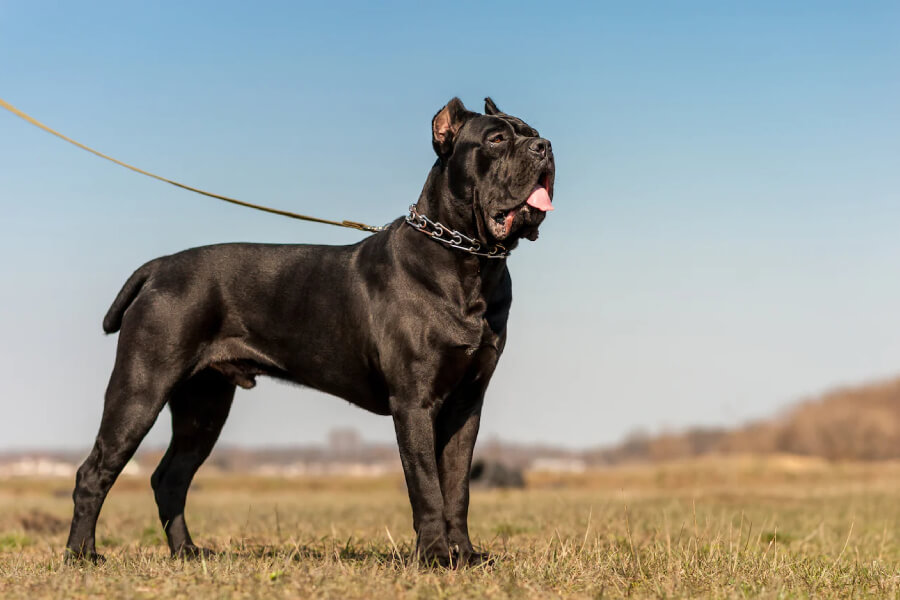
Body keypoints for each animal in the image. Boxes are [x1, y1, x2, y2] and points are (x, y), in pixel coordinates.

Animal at [63, 96, 552, 564]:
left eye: (532, 131)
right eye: (496, 140)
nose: (544, 147)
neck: (468, 261)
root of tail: (161, 266)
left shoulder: (466, 405)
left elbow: (457, 487)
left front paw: (465, 555)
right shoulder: (414, 402)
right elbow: (427, 486)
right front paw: (434, 556)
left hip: (203, 405)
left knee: (171, 477)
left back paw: (186, 552)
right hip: (140, 388)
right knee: (95, 471)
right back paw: (83, 554)